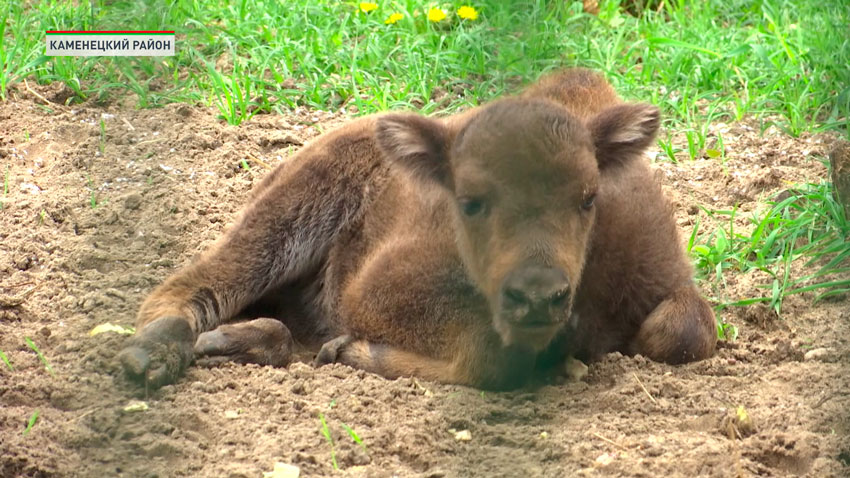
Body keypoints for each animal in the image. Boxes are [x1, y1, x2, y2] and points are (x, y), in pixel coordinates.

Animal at [117, 69, 716, 390]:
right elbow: (487, 359)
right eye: (469, 202)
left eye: (588, 197)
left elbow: (686, 332)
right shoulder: (375, 291)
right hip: (287, 214)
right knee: (192, 285)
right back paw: (156, 355)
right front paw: (349, 351)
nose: (538, 296)